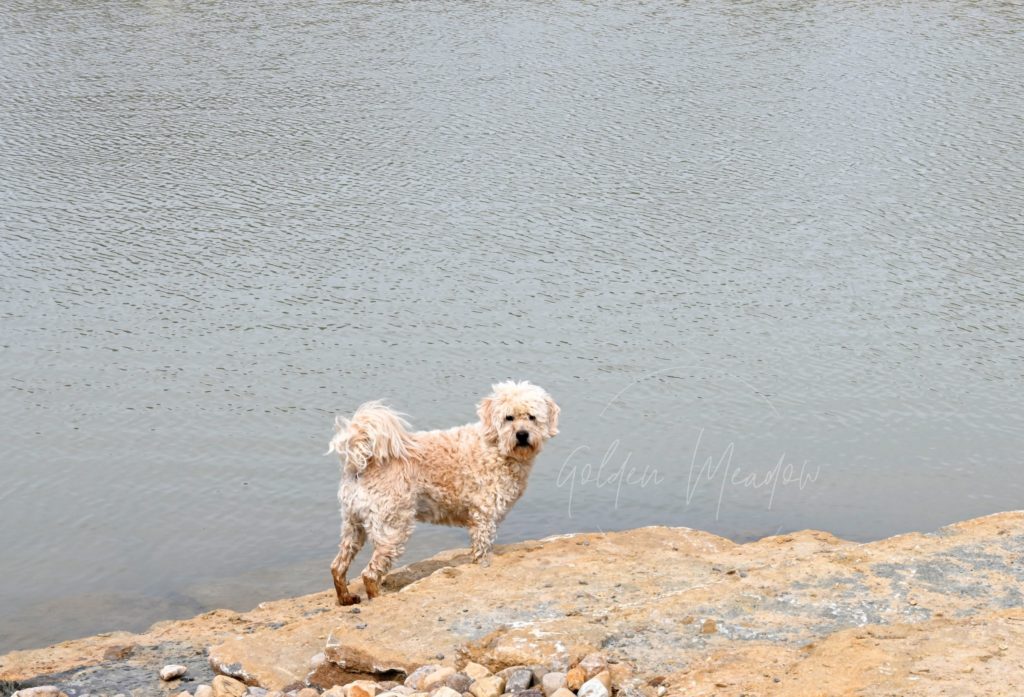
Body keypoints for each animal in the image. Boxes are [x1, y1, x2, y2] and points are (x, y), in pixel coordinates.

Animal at [325, 380, 561, 601]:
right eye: (508, 418)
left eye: (531, 417)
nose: (522, 434)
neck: (495, 447)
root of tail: (363, 462)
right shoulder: (484, 518)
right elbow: (482, 551)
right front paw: (482, 568)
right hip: (392, 527)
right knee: (370, 574)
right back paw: (378, 598)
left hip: (353, 525)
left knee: (338, 566)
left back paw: (346, 599)